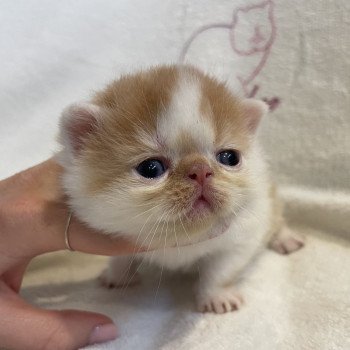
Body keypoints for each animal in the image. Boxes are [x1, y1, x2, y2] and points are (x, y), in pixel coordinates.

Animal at [57, 64, 304, 314]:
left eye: (229, 157)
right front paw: (117, 276)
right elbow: (120, 259)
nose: (201, 171)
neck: (181, 234)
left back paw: (286, 239)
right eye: (151, 168)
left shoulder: (242, 236)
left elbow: (219, 273)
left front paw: (217, 298)